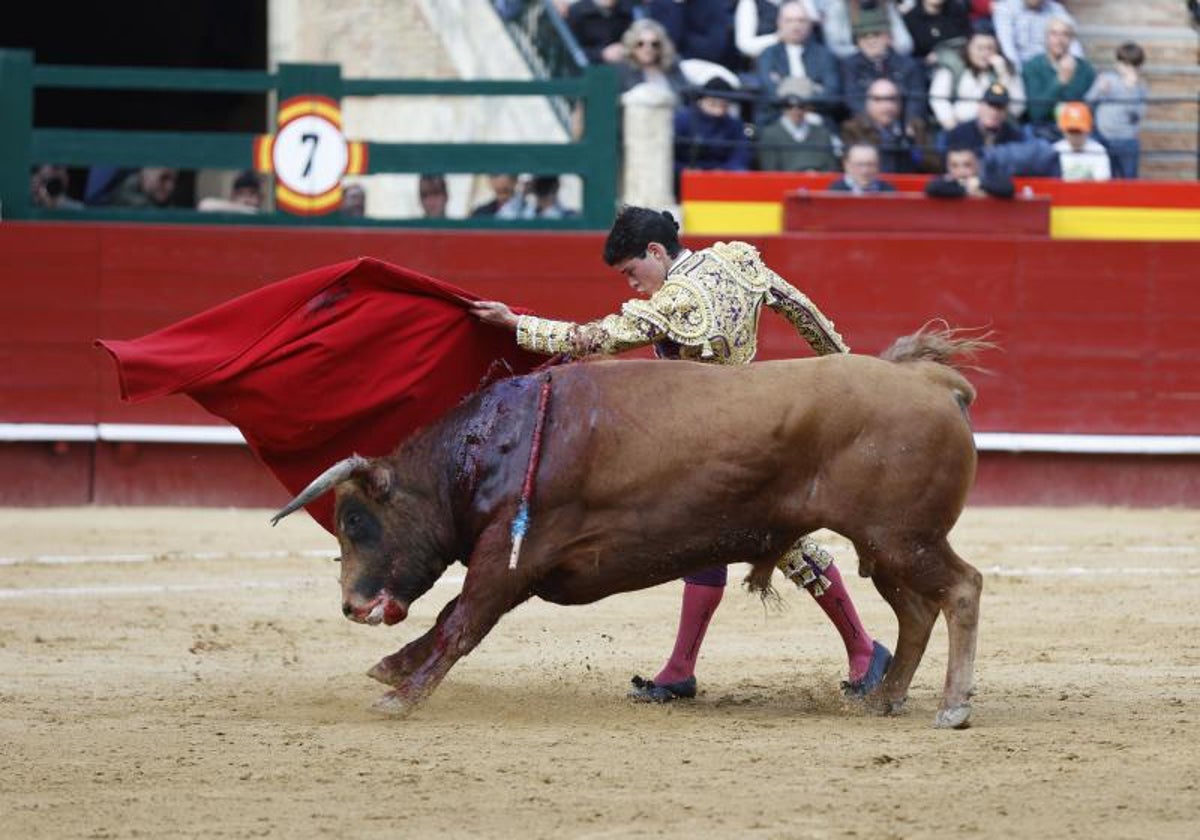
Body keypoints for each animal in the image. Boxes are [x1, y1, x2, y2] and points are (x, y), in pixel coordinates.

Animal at [276, 328, 988, 729]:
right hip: (888, 545)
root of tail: (931, 382)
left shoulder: (511, 557)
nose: (351, 606)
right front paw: (393, 670)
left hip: (903, 538)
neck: (491, 448)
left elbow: (461, 620)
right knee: (915, 611)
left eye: (356, 519)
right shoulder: (513, 564)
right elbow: (455, 618)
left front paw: (401, 694)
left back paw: (952, 707)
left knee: (961, 590)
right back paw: (883, 698)